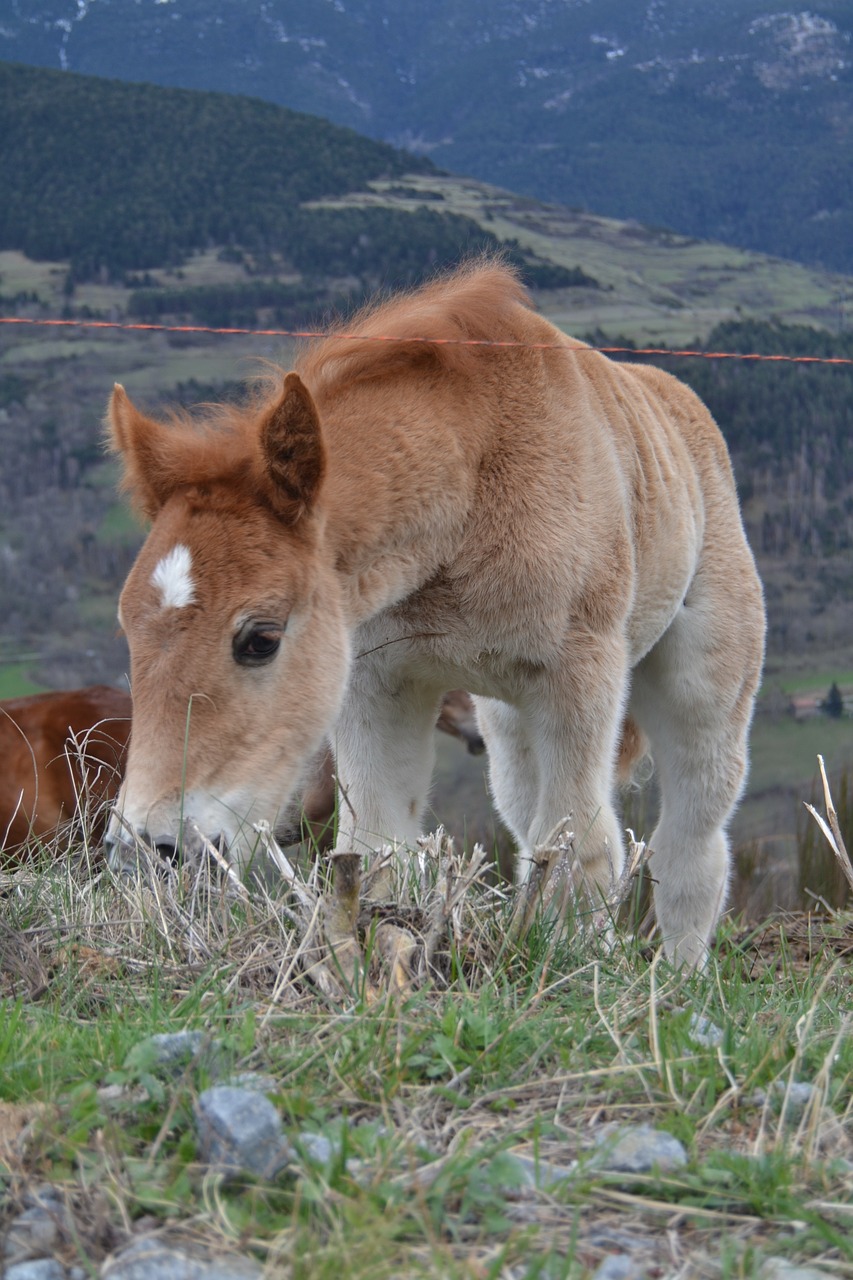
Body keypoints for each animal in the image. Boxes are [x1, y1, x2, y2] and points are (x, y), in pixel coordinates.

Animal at [106, 257, 763, 962]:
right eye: (129, 634)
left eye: (260, 639)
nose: (150, 848)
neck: (471, 493)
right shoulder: (375, 682)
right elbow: (376, 848)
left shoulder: (582, 675)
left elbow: (583, 851)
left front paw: (577, 969)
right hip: (507, 720)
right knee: (527, 821)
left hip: (704, 686)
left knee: (692, 843)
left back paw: (682, 972)